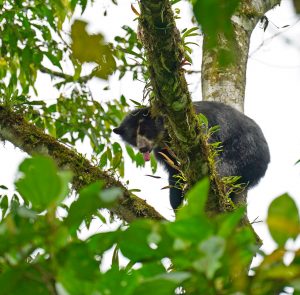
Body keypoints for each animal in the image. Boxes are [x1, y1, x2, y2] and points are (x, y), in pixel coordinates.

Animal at [113, 102, 270, 210]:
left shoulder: (197, 126)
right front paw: (176, 206)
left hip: (244, 151)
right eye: (133, 136)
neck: (163, 136)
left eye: (145, 130)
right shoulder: (162, 151)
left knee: (224, 170)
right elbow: (174, 173)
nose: (143, 148)